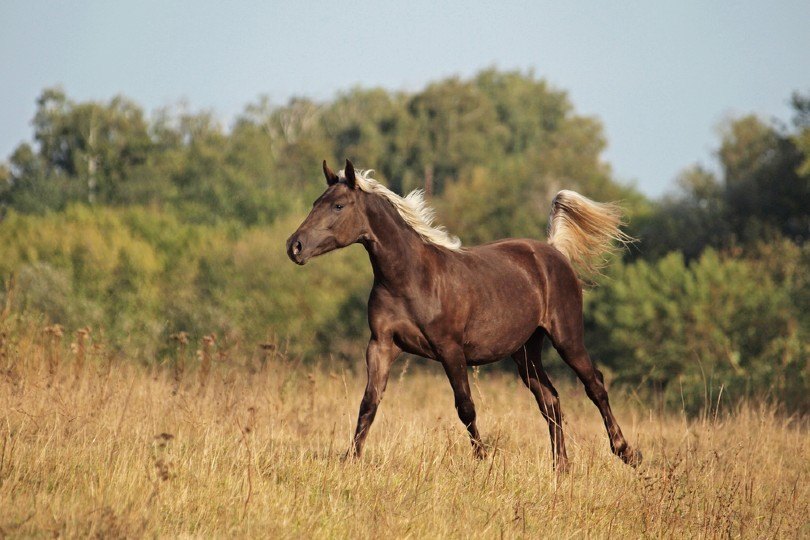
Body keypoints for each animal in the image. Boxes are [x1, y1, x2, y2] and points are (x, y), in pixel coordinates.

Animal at [286, 159, 641, 472]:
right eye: (316, 202)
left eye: (338, 206)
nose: (295, 246)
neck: (411, 278)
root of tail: (554, 251)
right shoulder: (381, 345)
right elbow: (369, 403)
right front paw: (350, 459)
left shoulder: (450, 350)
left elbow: (465, 406)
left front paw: (483, 460)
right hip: (526, 351)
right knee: (550, 400)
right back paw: (561, 468)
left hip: (567, 338)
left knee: (594, 385)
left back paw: (626, 452)